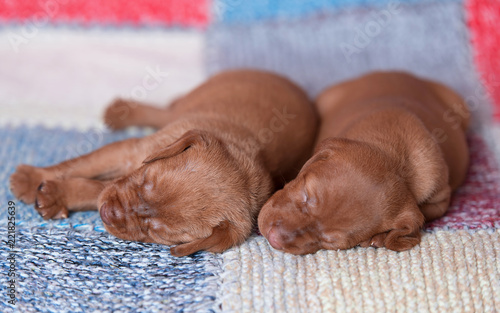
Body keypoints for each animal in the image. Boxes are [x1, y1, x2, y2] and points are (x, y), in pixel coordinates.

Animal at [8, 70, 316, 256]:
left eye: (158, 231)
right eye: (146, 180)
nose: (109, 213)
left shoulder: (115, 185)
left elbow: (92, 189)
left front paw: (57, 195)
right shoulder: (130, 152)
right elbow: (77, 165)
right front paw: (30, 179)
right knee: (162, 110)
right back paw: (122, 111)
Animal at [258, 70, 468, 254]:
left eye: (330, 241)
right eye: (305, 195)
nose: (274, 238)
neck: (397, 159)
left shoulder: (441, 198)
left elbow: (422, 214)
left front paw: (380, 237)